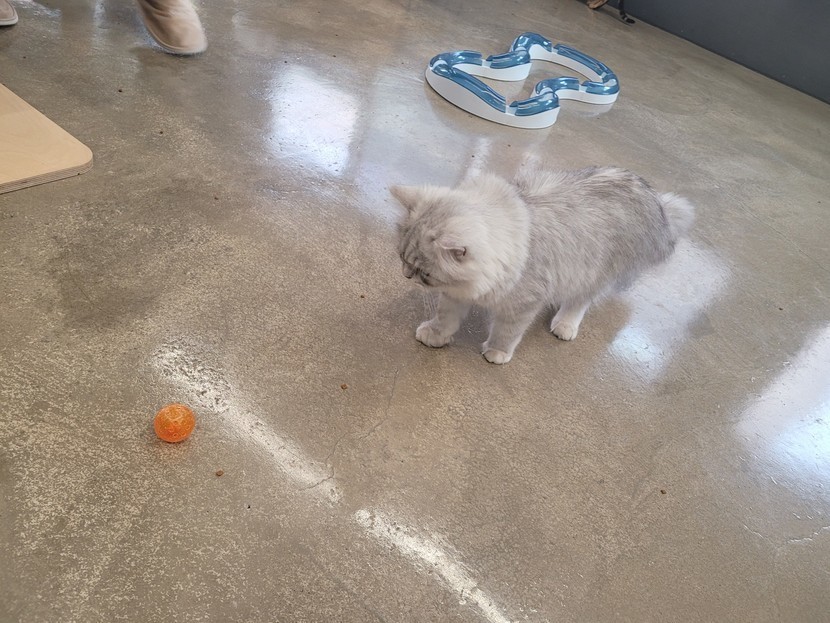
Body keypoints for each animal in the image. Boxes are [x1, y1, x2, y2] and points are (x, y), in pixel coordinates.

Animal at [392, 165, 694, 364]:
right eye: (402, 259)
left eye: (424, 273)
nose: (406, 276)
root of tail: (658, 203)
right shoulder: (455, 294)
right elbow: (445, 318)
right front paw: (435, 334)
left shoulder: (524, 303)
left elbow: (507, 332)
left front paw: (497, 352)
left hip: (593, 274)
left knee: (579, 302)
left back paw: (565, 324)